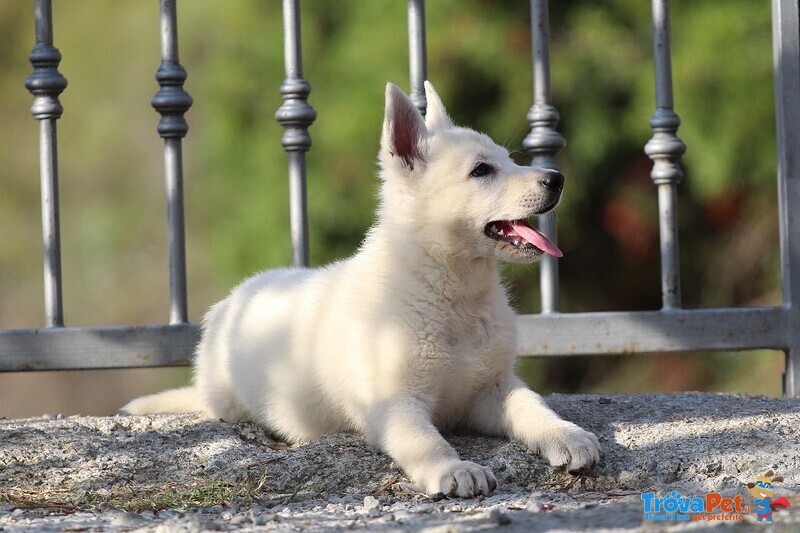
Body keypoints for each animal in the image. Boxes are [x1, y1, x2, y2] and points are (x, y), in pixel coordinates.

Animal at [123, 81, 600, 496]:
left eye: (509, 159)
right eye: (482, 170)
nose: (557, 178)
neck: (450, 292)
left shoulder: (493, 387)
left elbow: (532, 404)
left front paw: (566, 434)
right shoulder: (395, 404)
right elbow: (427, 441)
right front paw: (453, 467)